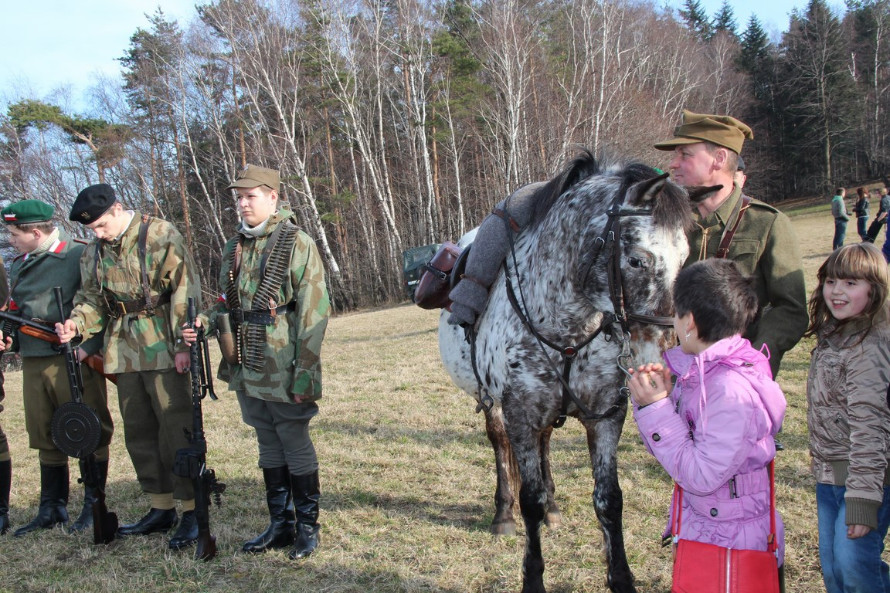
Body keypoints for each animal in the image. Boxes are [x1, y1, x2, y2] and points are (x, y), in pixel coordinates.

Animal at [438, 152, 694, 593]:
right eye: (637, 259)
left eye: (685, 258)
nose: (661, 352)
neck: (567, 326)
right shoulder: (520, 415)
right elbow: (530, 500)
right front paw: (532, 577)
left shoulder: (605, 416)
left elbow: (609, 498)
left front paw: (621, 577)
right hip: (491, 403)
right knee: (499, 446)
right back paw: (503, 514)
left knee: (544, 449)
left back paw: (554, 508)